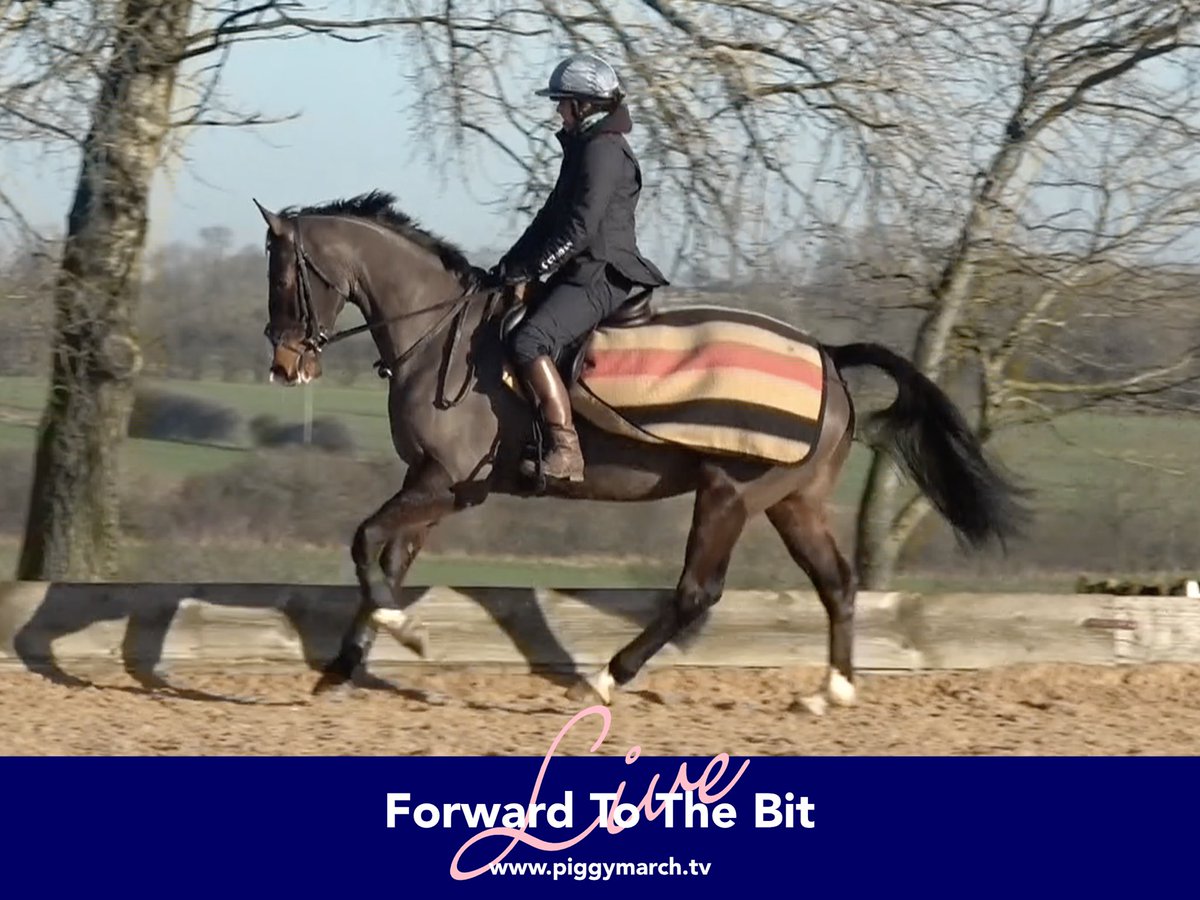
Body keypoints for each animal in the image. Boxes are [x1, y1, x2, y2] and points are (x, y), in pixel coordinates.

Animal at [252, 190, 1028, 712]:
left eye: (287, 277)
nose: (286, 367)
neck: (439, 331)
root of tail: (828, 358)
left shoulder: (444, 483)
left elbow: (366, 542)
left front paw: (400, 632)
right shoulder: (434, 484)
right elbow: (388, 559)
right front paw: (348, 663)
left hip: (729, 495)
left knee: (696, 594)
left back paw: (604, 679)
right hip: (794, 502)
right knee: (836, 583)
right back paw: (829, 692)